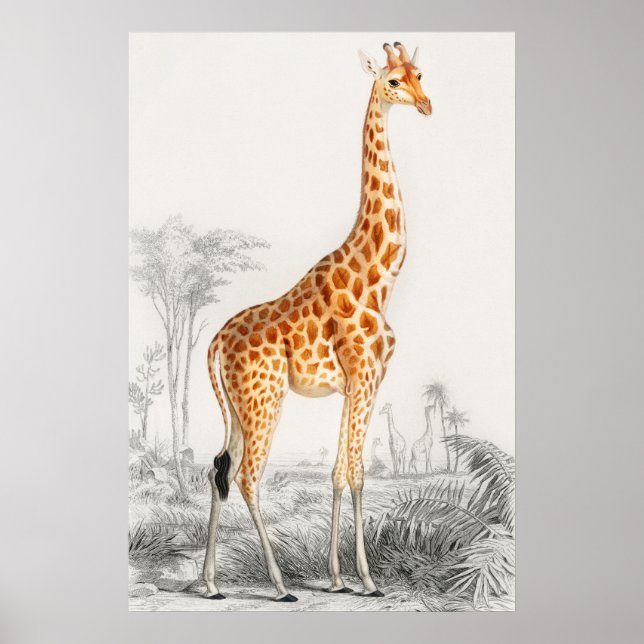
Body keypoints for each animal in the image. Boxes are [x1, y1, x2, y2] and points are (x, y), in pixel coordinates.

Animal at [203, 41, 431, 602]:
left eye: (420, 74)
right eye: (392, 81)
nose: (426, 105)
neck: (380, 276)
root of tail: (214, 343)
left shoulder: (356, 384)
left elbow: (338, 472)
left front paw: (338, 577)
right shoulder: (366, 376)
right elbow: (358, 473)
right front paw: (367, 580)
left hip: (239, 408)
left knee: (218, 468)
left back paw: (210, 584)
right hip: (264, 401)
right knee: (247, 477)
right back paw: (281, 585)